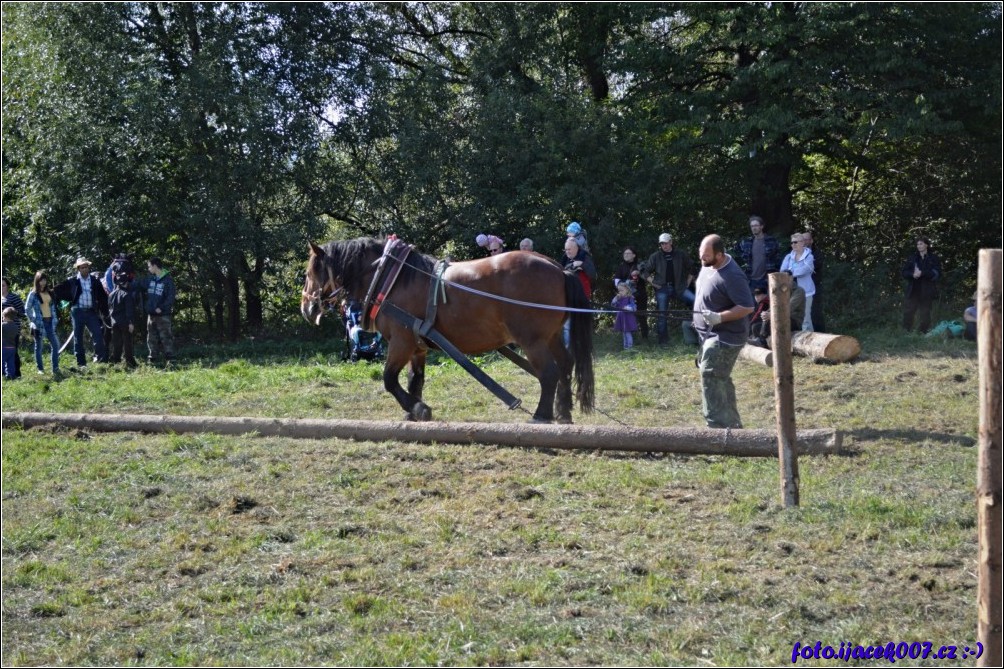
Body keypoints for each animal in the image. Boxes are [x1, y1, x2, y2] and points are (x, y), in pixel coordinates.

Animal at [301, 237, 590, 419]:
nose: (306, 307)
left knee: (549, 373)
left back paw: (542, 415)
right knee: (566, 365)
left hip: (532, 340)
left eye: (309, 273)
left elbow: (389, 379)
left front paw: (418, 409)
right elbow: (414, 380)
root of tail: (559, 269)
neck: (394, 280)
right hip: (551, 336)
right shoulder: (417, 346)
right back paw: (563, 413)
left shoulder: (401, 341)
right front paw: (414, 411)